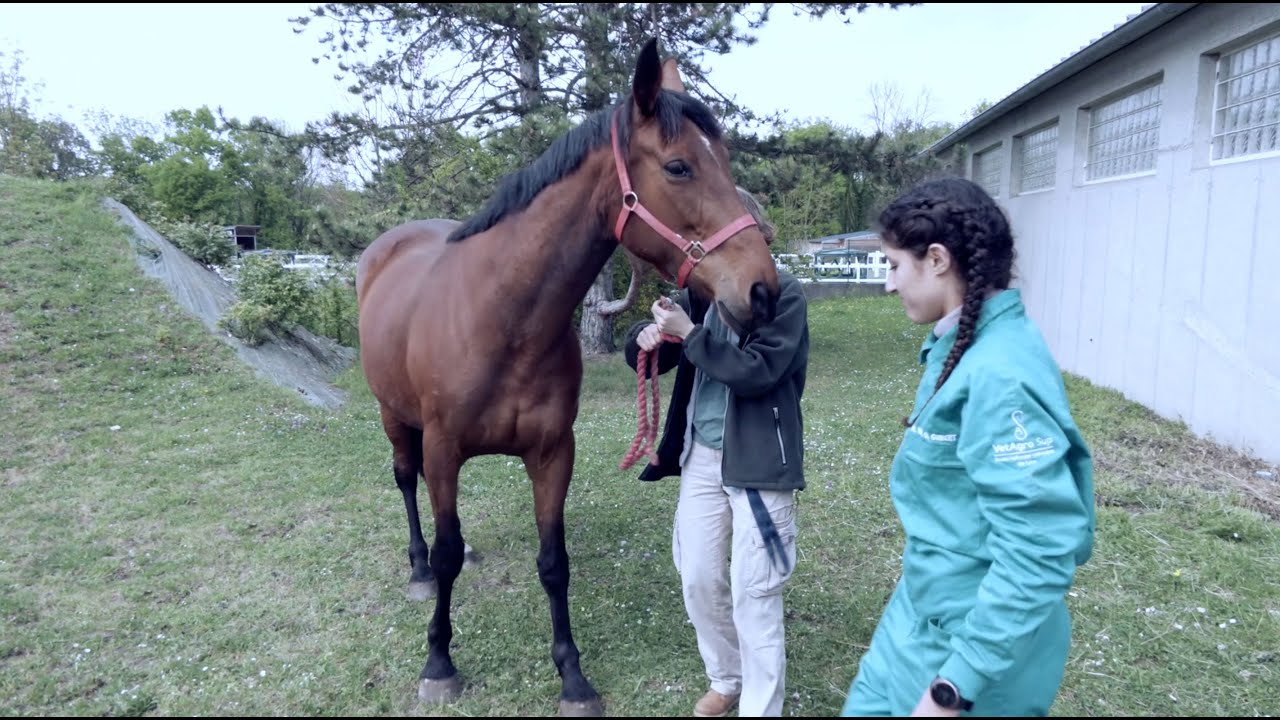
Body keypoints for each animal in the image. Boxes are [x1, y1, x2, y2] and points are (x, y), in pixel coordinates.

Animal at [354, 38, 779, 716]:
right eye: (680, 167)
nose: (762, 291)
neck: (503, 318)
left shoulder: (554, 451)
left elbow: (554, 562)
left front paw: (572, 676)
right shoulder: (445, 448)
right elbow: (446, 554)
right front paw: (439, 660)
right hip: (393, 416)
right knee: (406, 482)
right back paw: (417, 570)